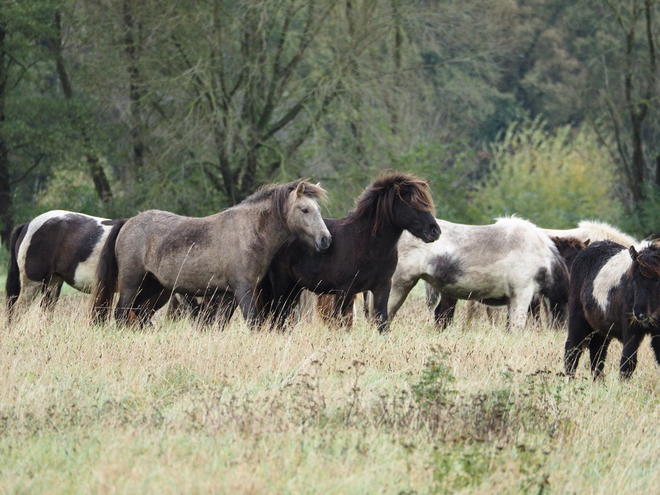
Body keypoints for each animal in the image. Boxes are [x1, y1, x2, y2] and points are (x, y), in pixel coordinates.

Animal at [91, 179, 330, 330]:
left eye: (318, 210)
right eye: (305, 209)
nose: (325, 239)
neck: (249, 231)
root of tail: (127, 222)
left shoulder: (229, 295)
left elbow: (220, 325)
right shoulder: (243, 290)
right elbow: (253, 322)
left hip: (152, 284)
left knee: (138, 312)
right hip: (132, 282)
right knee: (122, 313)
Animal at [255, 173, 440, 334]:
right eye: (413, 204)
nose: (435, 231)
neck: (366, 243)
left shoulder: (382, 288)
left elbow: (382, 323)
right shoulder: (344, 291)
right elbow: (338, 322)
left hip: (295, 288)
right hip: (281, 285)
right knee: (278, 317)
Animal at [564, 240, 660, 380]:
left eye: (657, 279)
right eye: (634, 279)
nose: (639, 313)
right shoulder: (631, 330)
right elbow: (627, 364)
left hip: (601, 328)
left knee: (597, 354)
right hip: (577, 319)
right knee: (572, 350)